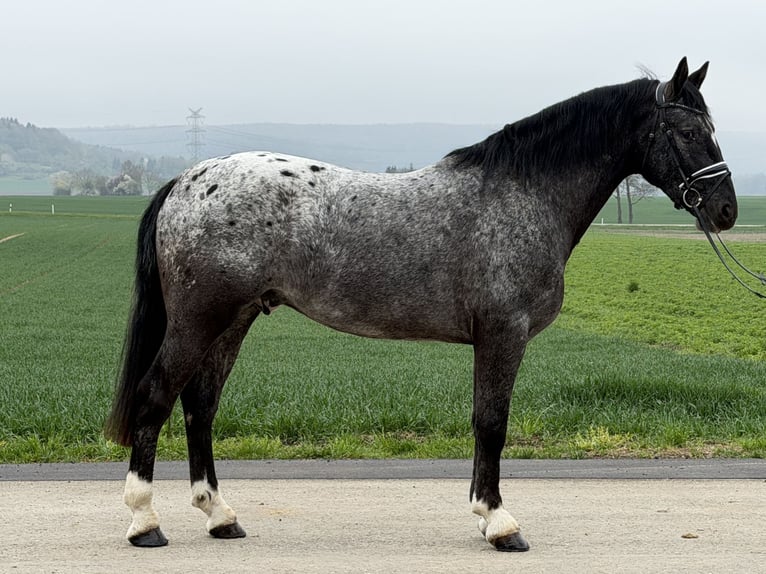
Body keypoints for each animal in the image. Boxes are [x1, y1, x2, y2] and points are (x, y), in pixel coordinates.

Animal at [105, 58, 737, 550]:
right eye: (686, 132)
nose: (727, 210)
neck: (521, 195)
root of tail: (189, 178)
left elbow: (485, 422)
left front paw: (485, 516)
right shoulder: (503, 334)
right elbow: (492, 423)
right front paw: (500, 524)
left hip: (233, 321)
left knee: (200, 406)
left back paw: (220, 516)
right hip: (200, 319)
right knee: (156, 397)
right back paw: (144, 523)